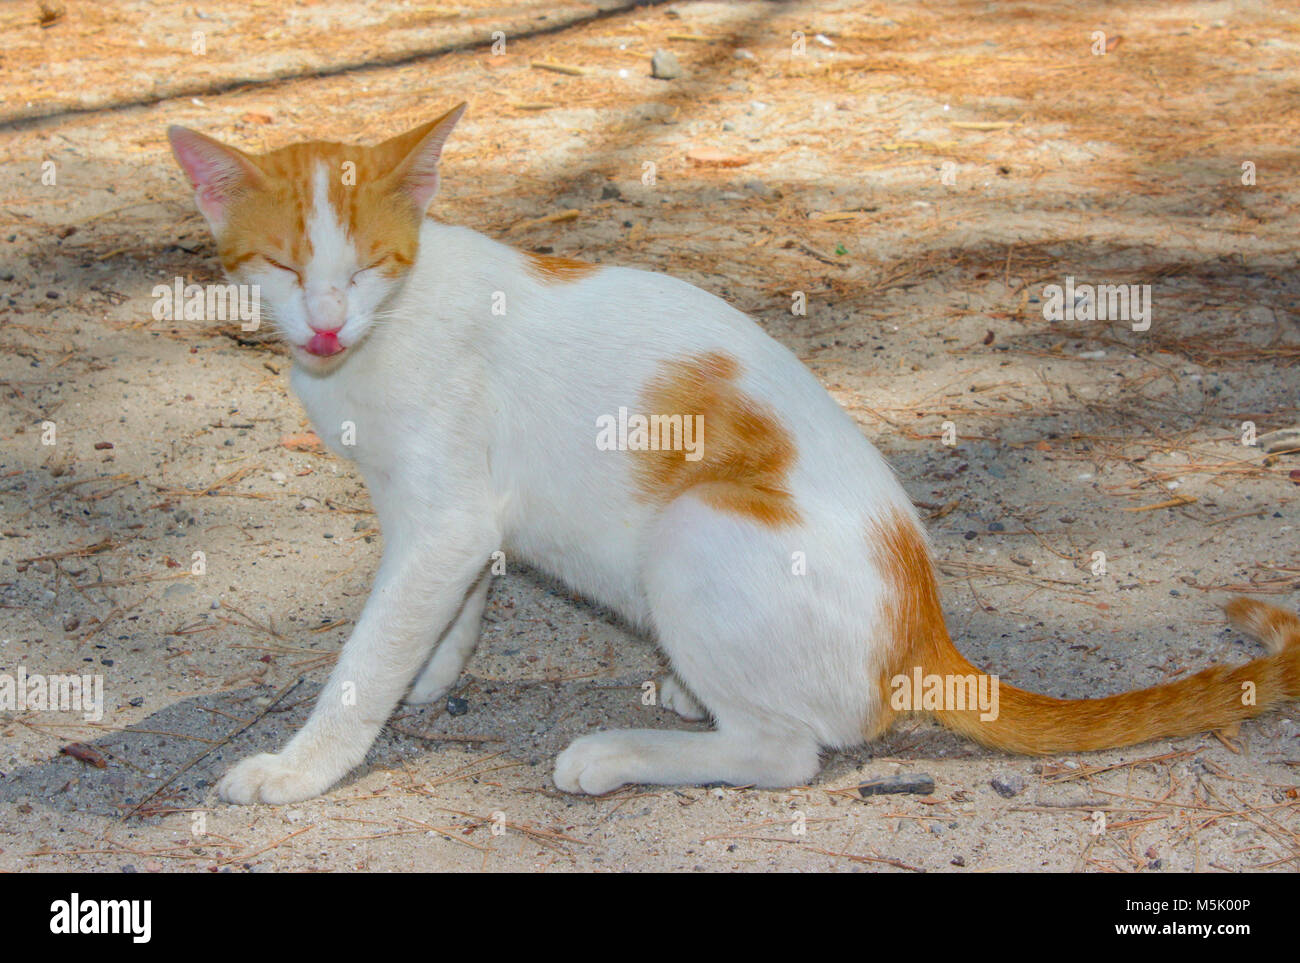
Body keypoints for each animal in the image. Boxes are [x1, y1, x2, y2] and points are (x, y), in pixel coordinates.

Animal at [167, 103, 1300, 805]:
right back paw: (685, 692)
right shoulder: (446, 521)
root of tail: (922, 638)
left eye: (366, 266)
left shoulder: (443, 515)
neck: (374, 340)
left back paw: (621, 751)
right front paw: (434, 675)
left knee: (787, 752)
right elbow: (448, 612)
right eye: (283, 266)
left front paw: (304, 764)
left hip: (694, 525)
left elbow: (367, 656)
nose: (322, 325)